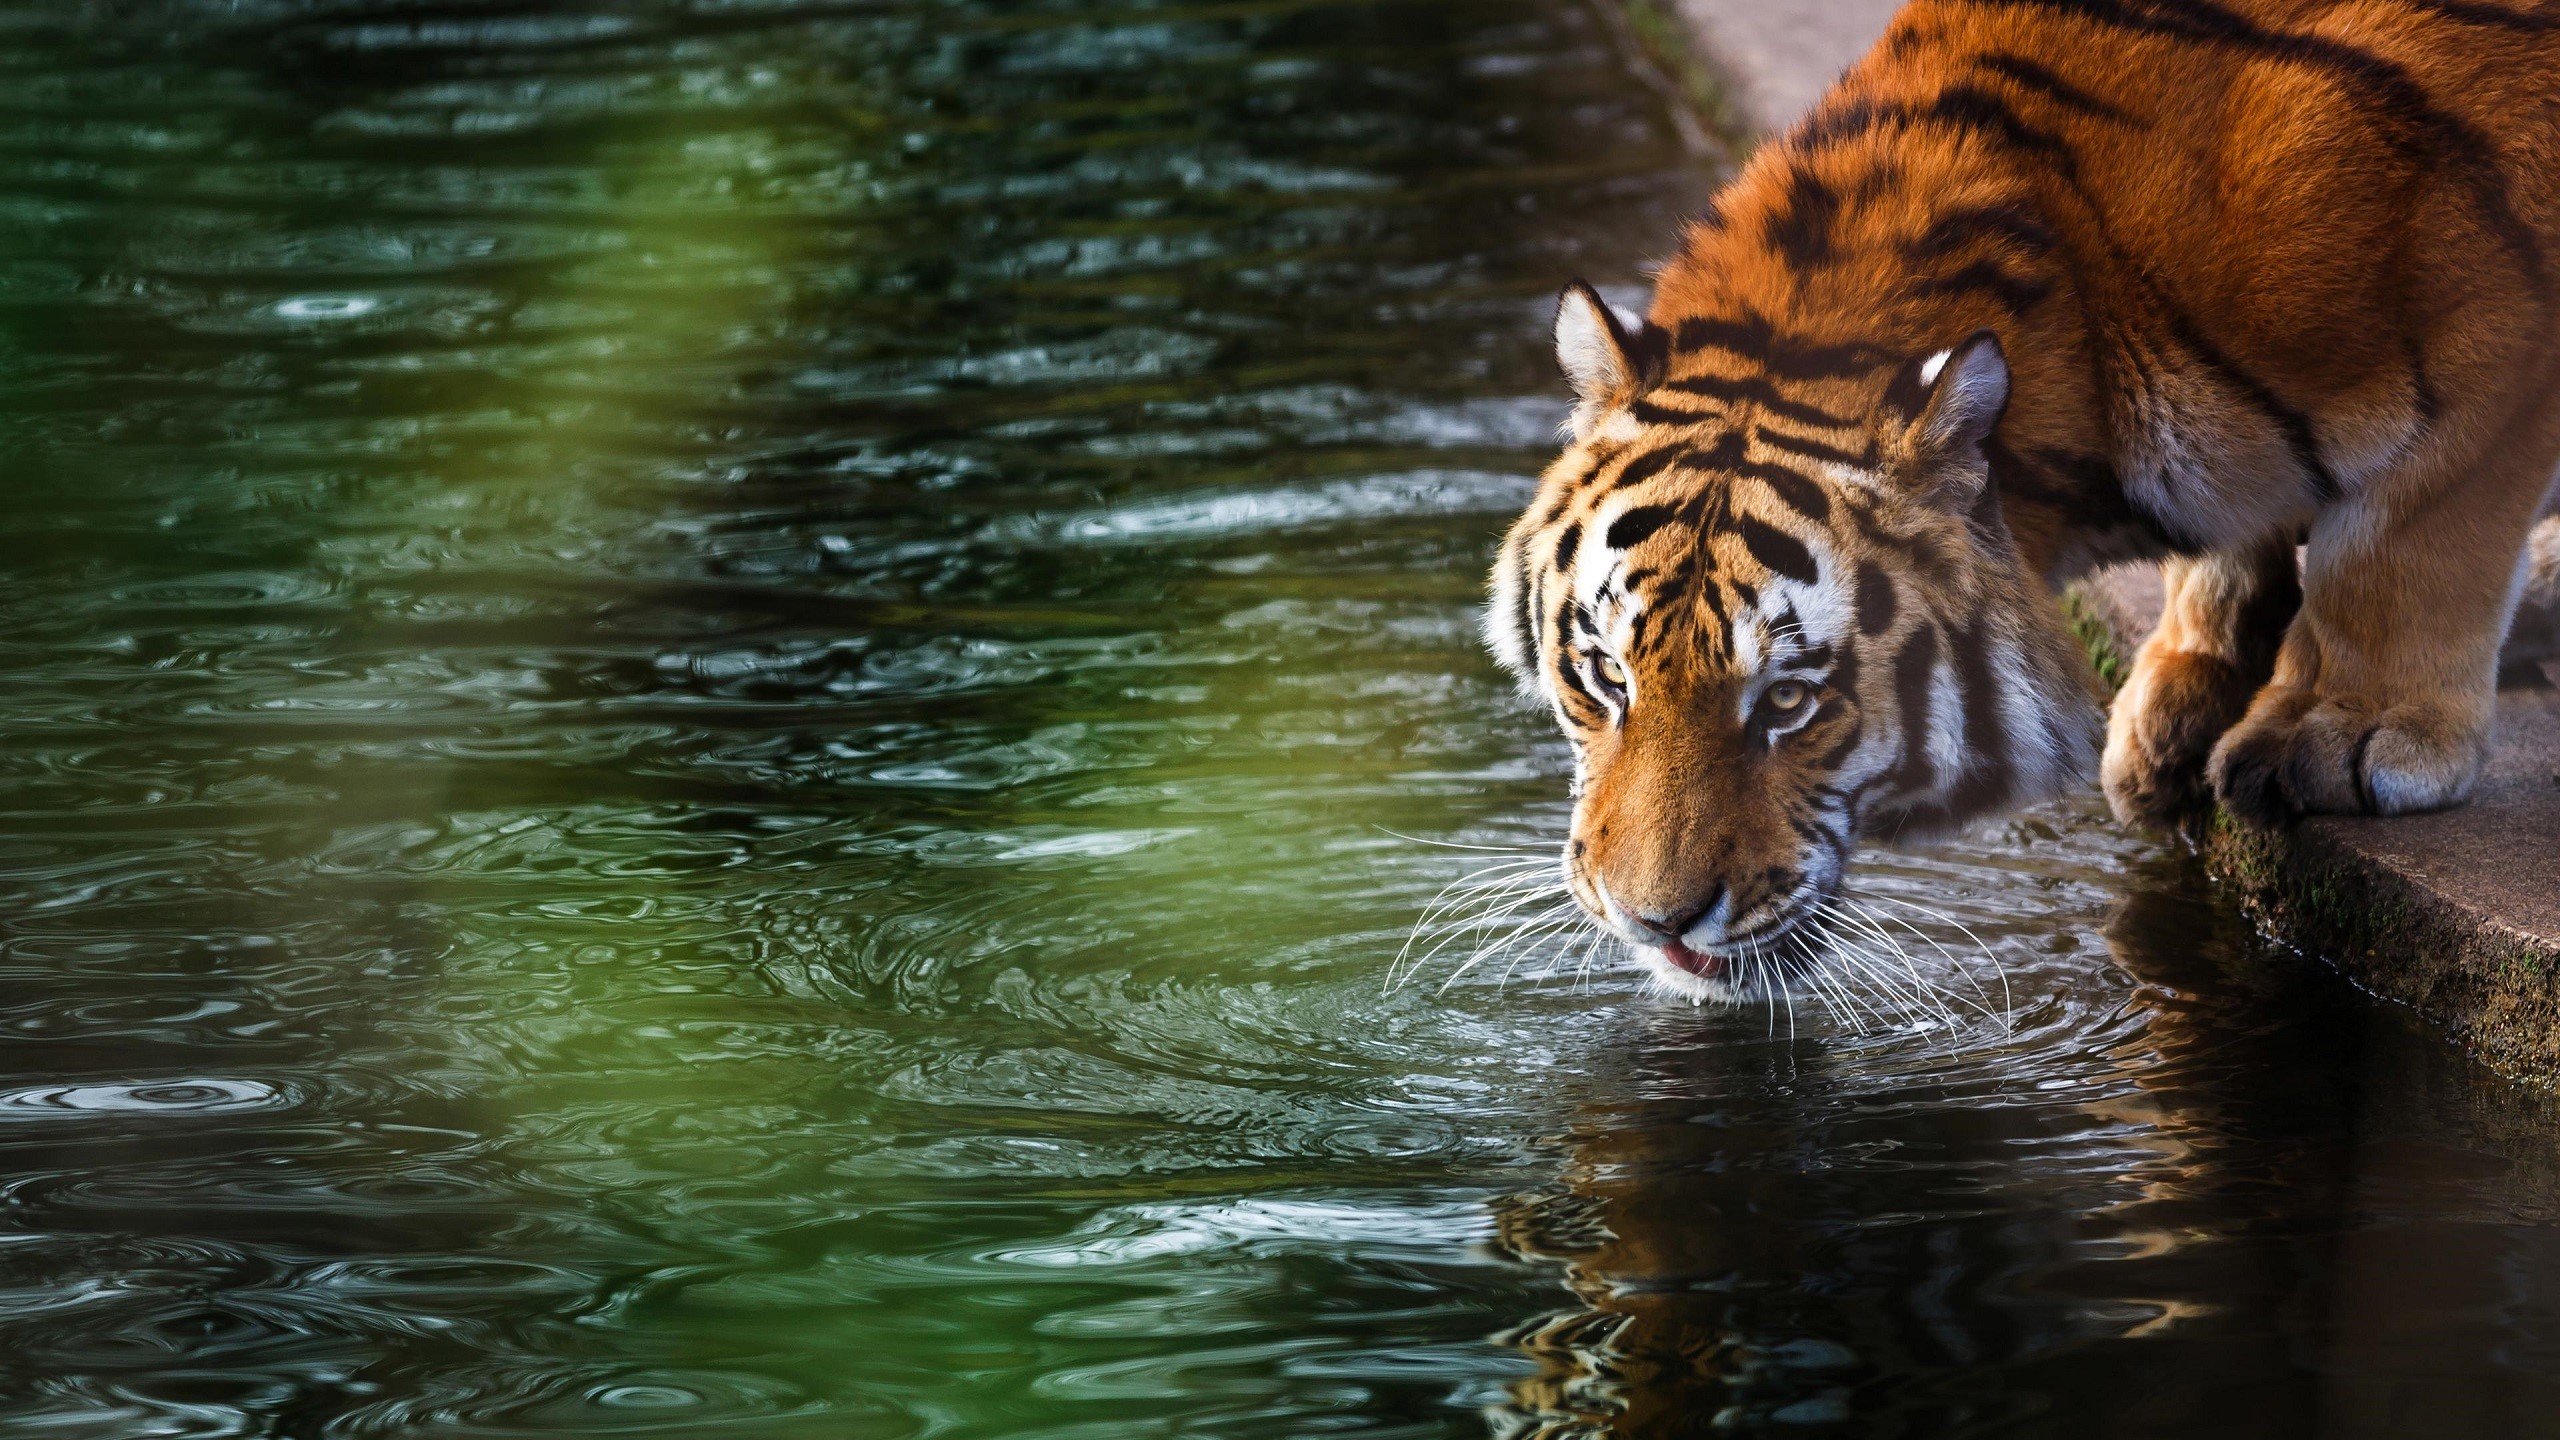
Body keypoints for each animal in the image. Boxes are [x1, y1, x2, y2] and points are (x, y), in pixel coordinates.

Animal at [1487, 0, 2560, 1001]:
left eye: (1790, 701)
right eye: (1605, 676)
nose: (1654, 922)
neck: (2084, 296)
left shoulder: (2497, 330)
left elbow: (2404, 541)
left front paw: (2339, 729)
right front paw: (2182, 695)